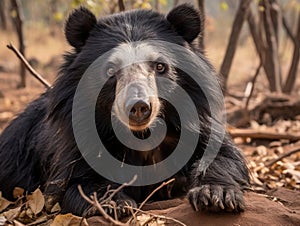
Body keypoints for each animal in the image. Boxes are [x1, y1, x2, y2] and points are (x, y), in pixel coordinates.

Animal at [0, 3, 248, 217]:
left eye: (160, 66)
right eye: (110, 70)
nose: (138, 107)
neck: (143, 136)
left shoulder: (196, 120)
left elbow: (222, 155)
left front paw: (216, 195)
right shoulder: (79, 139)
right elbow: (78, 180)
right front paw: (114, 203)